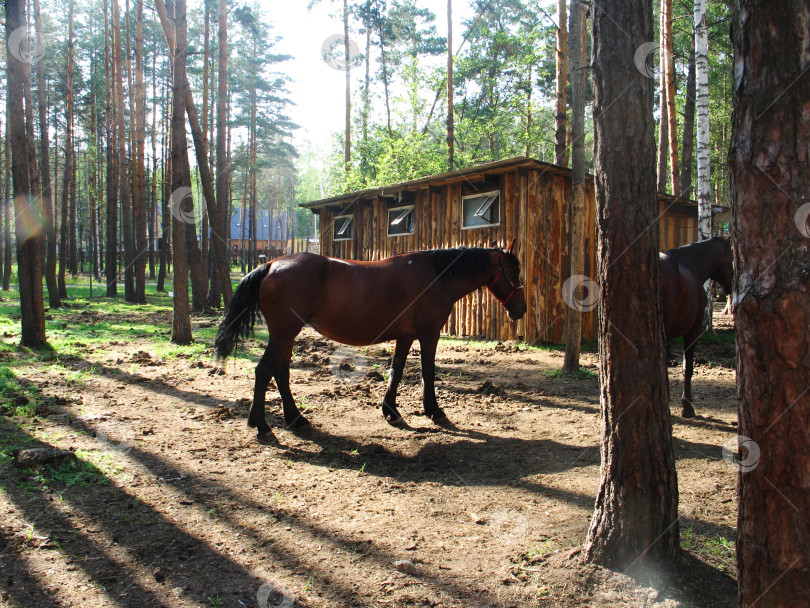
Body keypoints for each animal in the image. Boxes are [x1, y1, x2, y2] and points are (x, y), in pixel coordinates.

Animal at [213, 241, 524, 442]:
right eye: (514, 271)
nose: (520, 310)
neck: (435, 274)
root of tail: (269, 264)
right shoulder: (428, 334)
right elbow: (428, 373)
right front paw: (434, 411)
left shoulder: (406, 336)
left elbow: (396, 371)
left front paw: (392, 412)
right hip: (283, 333)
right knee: (264, 371)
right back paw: (262, 426)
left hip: (287, 335)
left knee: (281, 373)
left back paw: (296, 419)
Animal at [656, 238, 732, 418]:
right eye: (731, 259)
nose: (731, 286)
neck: (691, 264)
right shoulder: (693, 331)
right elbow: (687, 368)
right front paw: (687, 406)